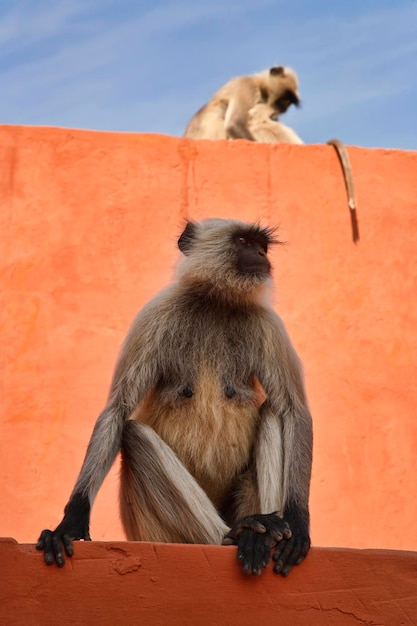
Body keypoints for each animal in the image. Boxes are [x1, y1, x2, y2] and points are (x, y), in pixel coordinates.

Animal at [37, 218, 312, 576]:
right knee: (134, 434)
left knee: (273, 411)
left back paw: (265, 534)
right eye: (243, 241)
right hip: (154, 531)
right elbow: (117, 410)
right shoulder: (155, 313)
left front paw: (298, 524)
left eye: (261, 246)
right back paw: (235, 535)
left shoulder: (268, 323)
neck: (216, 302)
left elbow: (294, 411)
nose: (262, 256)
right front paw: (71, 521)